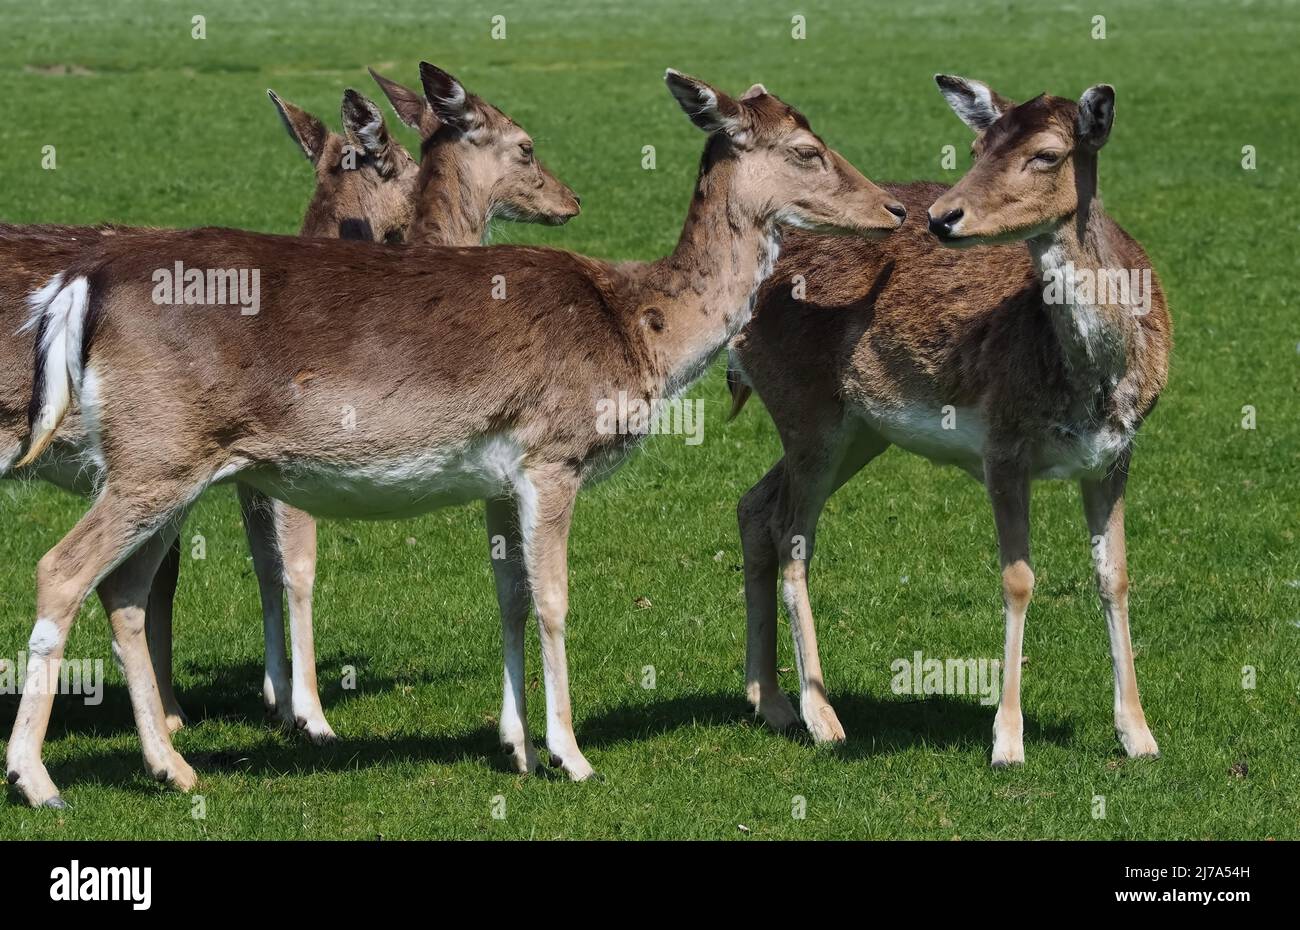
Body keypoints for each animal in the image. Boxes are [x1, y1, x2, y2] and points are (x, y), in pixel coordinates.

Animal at [4, 70, 905, 806]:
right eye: (808, 150)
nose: (894, 208)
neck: (640, 330)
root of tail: (81, 286)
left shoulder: (498, 476)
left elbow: (507, 596)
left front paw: (517, 748)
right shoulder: (553, 452)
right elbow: (553, 599)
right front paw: (572, 755)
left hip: (162, 462)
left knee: (124, 590)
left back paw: (172, 767)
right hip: (158, 457)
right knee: (61, 569)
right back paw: (38, 779)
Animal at [729, 76, 1170, 767]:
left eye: (1047, 154)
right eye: (976, 147)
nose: (942, 216)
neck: (1095, 383)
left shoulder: (1117, 452)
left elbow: (1116, 576)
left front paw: (1139, 735)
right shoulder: (1003, 444)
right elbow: (1018, 579)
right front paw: (1007, 741)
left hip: (858, 429)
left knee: (753, 504)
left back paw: (767, 700)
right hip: (804, 406)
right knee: (789, 531)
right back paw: (821, 717)